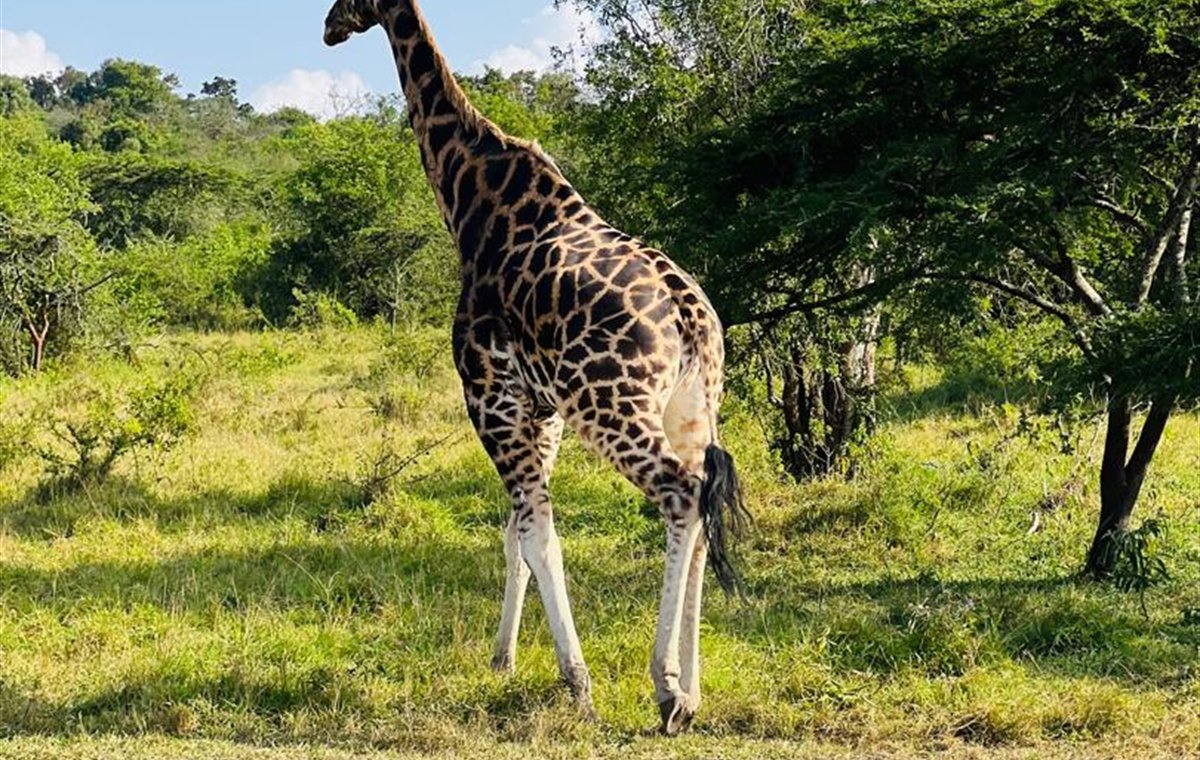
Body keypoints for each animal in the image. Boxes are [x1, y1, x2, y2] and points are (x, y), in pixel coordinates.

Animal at [324, 0, 750, 734]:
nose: (326, 28)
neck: (471, 200)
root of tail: (689, 314)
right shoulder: (538, 409)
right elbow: (513, 534)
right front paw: (503, 660)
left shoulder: (490, 394)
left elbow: (537, 534)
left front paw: (576, 683)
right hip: (691, 405)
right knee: (703, 498)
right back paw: (692, 692)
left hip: (609, 403)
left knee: (678, 493)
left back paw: (666, 689)